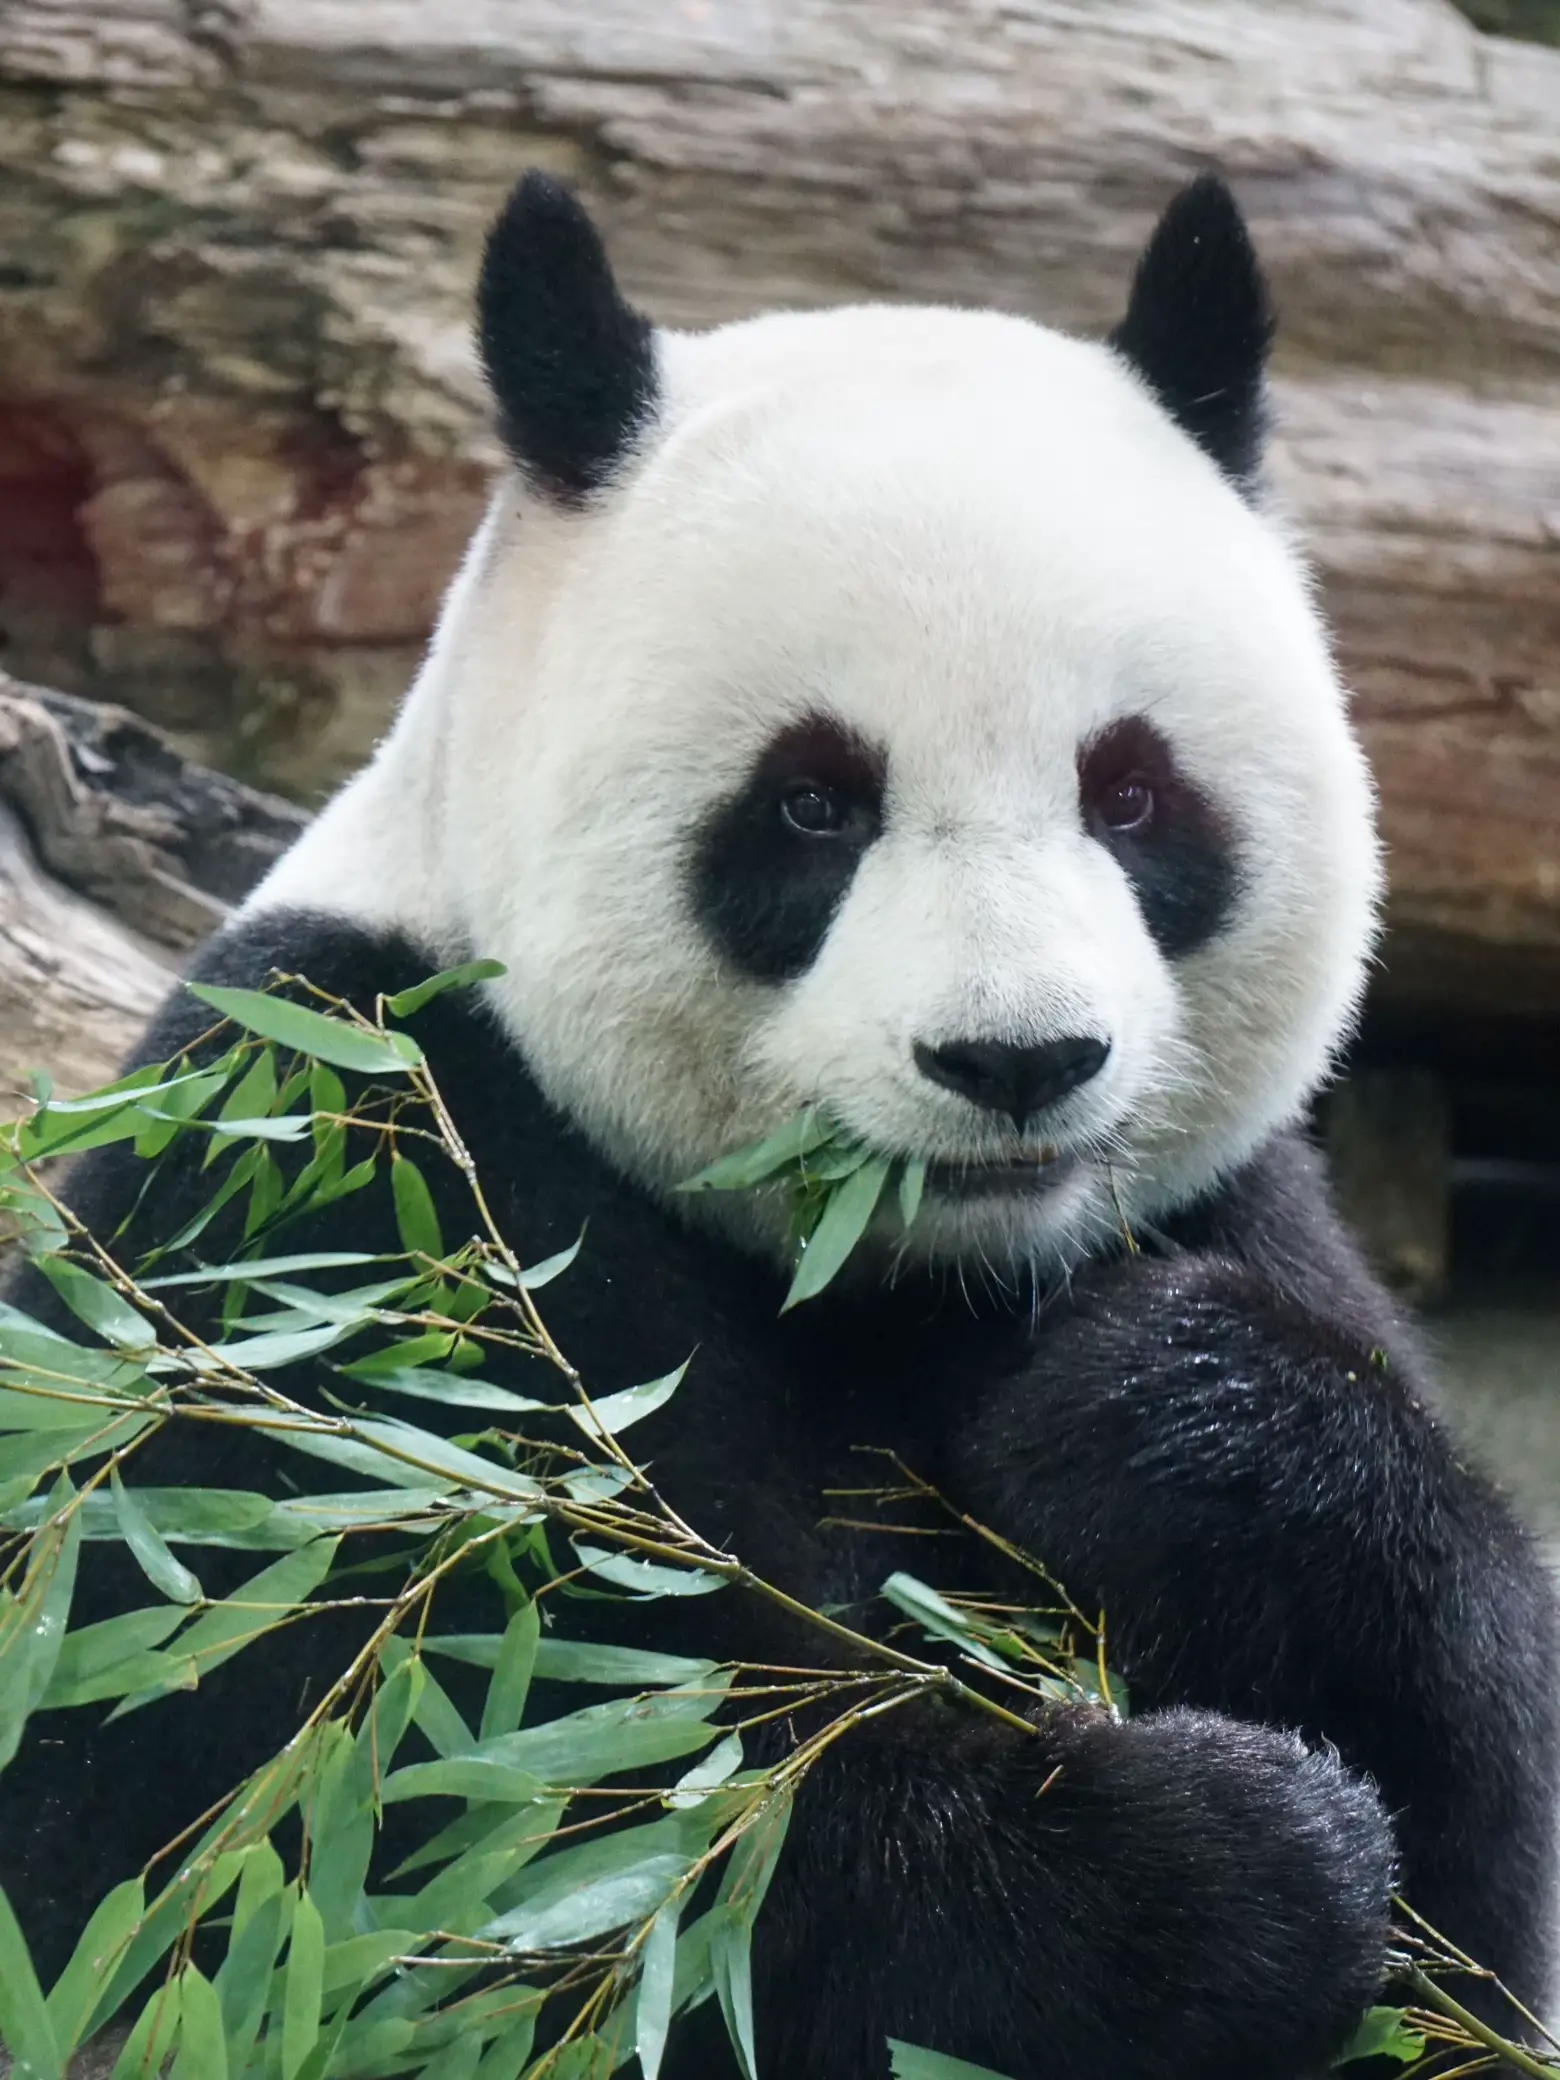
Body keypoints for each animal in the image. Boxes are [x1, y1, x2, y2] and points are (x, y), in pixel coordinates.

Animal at [3, 174, 1560, 2080]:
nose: (1019, 1060)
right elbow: (366, 1824)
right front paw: (1213, 1872)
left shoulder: (1237, 1213)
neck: (906, 1273)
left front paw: (1169, 1420)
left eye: (1131, 794)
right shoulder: (326, 1170)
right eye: (815, 805)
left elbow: (1475, 1865)